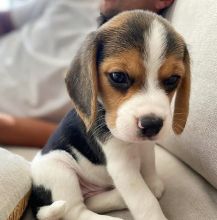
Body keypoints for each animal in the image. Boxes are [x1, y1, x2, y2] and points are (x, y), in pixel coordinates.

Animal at [30, 9, 190, 220]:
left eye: (172, 79)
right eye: (118, 76)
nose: (152, 124)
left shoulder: (147, 147)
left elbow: (149, 164)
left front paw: (152, 183)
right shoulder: (122, 167)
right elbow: (145, 200)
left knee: (91, 202)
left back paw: (118, 197)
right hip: (58, 169)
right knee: (76, 210)